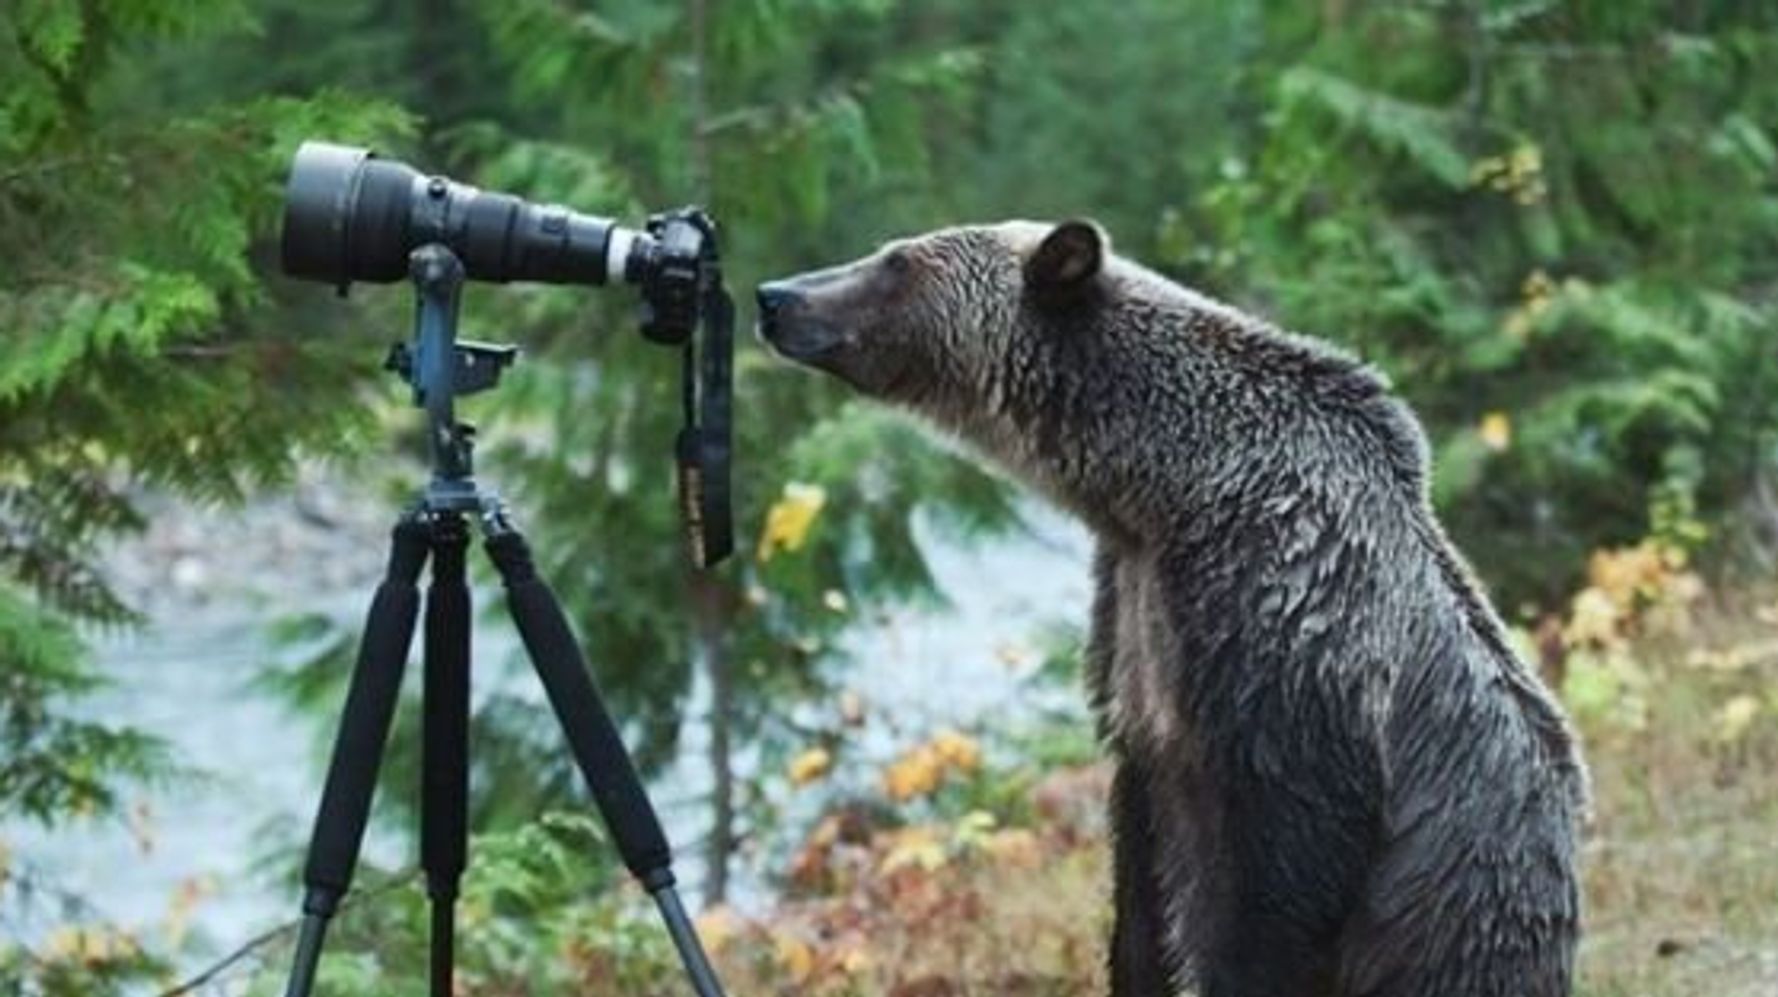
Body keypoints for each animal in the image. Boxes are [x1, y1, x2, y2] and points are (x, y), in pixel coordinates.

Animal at [757, 221, 1593, 988]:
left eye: (896, 261)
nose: (776, 295)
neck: (1164, 492)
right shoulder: (1136, 625)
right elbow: (1142, 873)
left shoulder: (1288, 630)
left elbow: (1281, 876)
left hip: (1468, 919)